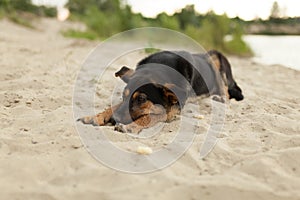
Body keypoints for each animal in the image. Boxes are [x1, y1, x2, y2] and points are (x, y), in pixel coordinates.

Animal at [78, 49, 244, 134]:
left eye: (142, 99)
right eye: (123, 95)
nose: (113, 120)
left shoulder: (173, 110)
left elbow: (150, 116)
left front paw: (130, 126)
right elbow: (112, 107)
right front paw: (95, 117)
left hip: (214, 59)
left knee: (225, 89)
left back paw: (221, 98)